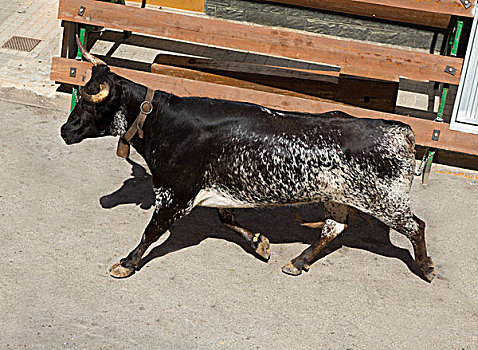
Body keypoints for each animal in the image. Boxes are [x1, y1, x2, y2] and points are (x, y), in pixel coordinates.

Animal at [61, 37, 436, 282]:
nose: (65, 130)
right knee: (333, 229)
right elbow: (227, 219)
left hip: (384, 200)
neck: (164, 123)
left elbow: (151, 231)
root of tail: (401, 130)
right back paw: (297, 262)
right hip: (339, 197)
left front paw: (126, 263)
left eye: (91, 103)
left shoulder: (175, 194)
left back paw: (426, 267)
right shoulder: (217, 190)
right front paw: (260, 243)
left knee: (415, 225)